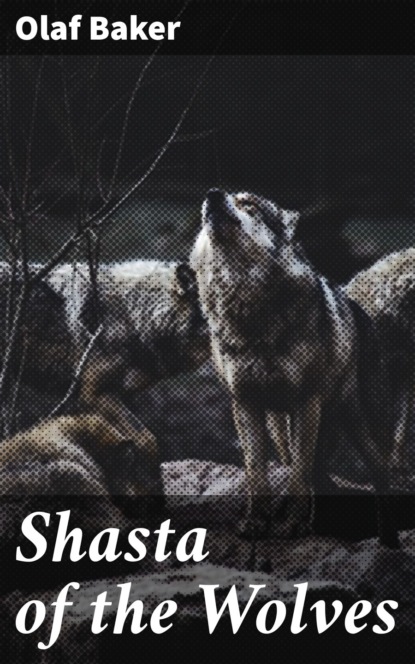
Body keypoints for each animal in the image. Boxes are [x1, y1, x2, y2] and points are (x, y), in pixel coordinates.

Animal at [190, 188, 398, 546]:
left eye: (249, 204)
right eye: (222, 198)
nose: (212, 195)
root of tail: (357, 308)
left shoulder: (306, 402)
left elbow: (300, 476)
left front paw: (297, 526)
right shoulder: (245, 403)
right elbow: (257, 475)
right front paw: (256, 522)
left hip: (359, 424)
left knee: (377, 476)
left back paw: (389, 542)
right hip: (282, 429)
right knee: (315, 474)